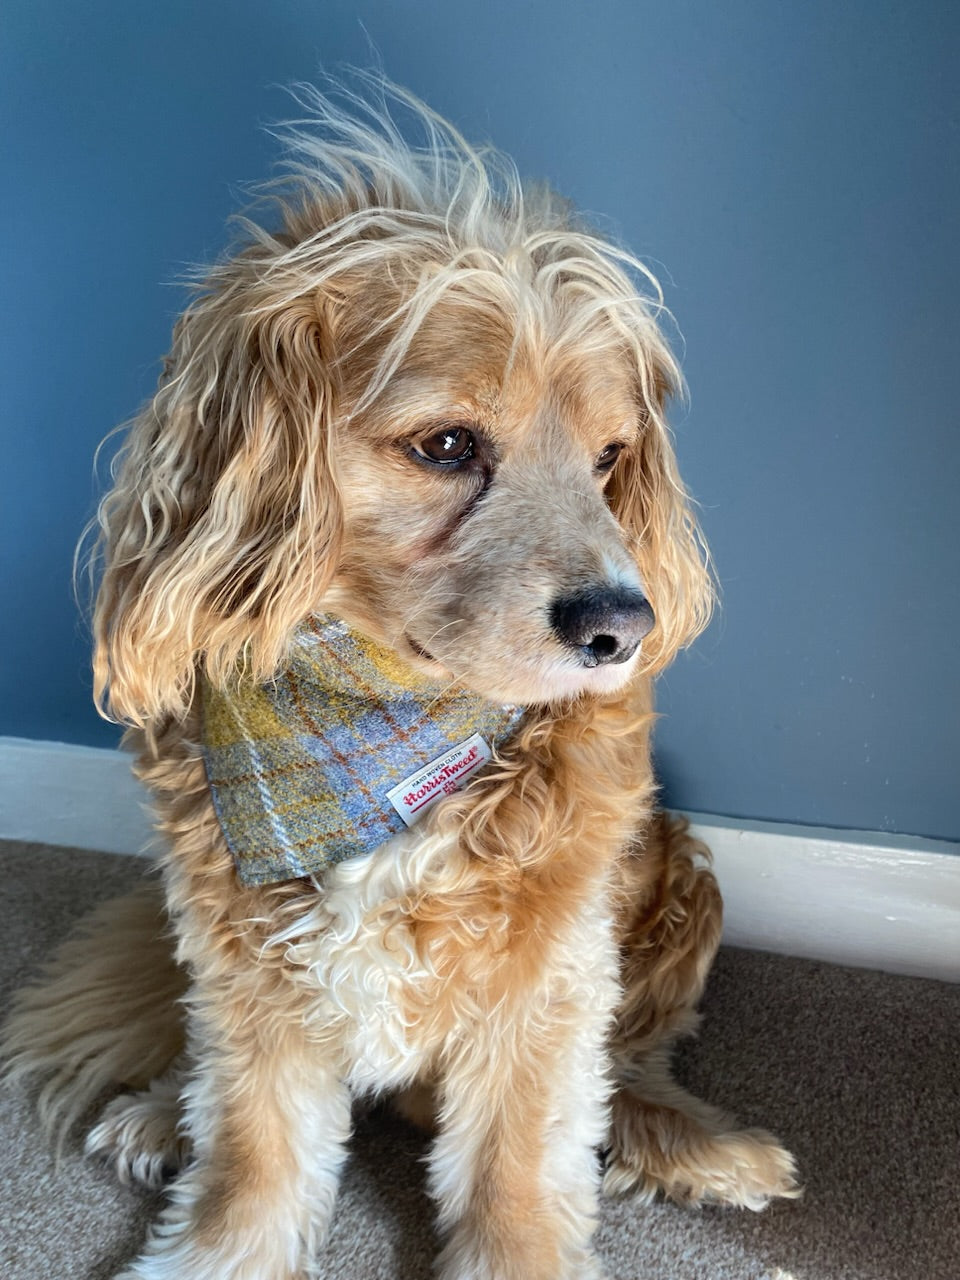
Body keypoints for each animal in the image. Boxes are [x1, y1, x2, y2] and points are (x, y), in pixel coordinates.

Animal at [0, 82, 798, 1280]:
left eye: (611, 458)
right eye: (449, 445)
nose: (624, 624)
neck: (387, 723)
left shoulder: (548, 976)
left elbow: (518, 1163)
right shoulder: (247, 966)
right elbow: (255, 1146)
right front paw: (218, 1244)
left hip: (684, 884)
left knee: (638, 1067)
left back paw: (694, 1146)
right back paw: (157, 1111)